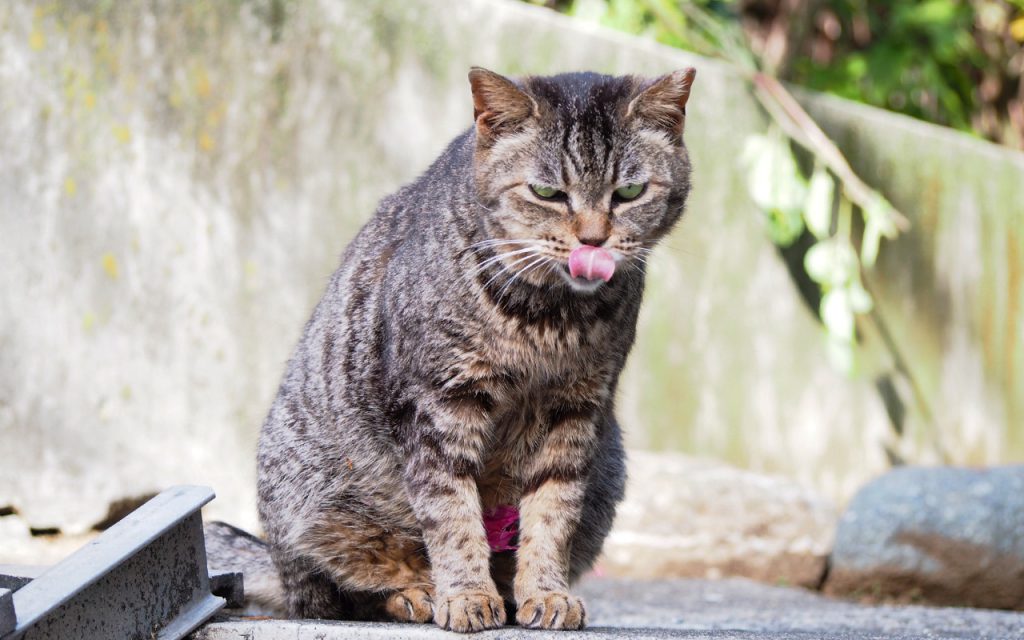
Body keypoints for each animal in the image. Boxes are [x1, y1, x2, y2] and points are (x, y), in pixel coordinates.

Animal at [203, 65, 692, 630]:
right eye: (547, 191)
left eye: (629, 191)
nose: (593, 240)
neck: (547, 321)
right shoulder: (439, 403)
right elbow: (452, 515)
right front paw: (465, 595)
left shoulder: (578, 410)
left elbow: (553, 514)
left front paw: (545, 592)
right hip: (308, 496)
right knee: (339, 592)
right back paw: (416, 593)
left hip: (608, 467)